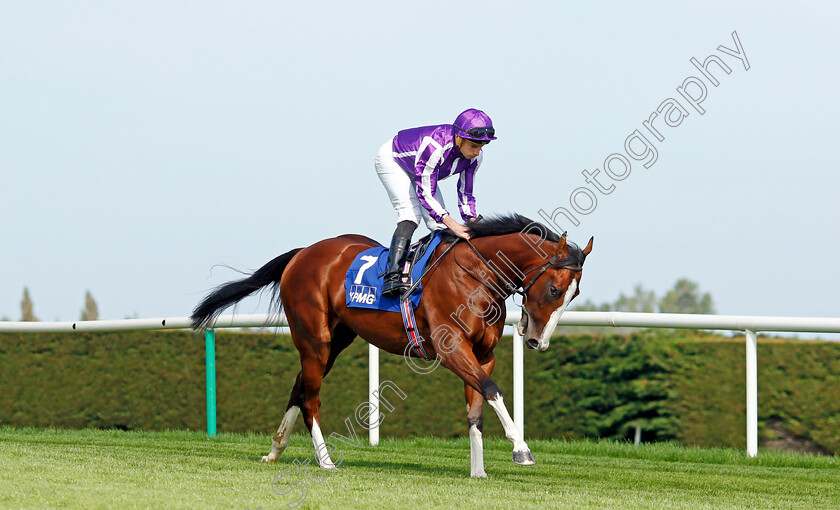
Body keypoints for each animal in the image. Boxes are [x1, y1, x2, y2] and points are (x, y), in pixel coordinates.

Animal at [194, 214, 592, 478]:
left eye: (574, 295)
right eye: (554, 289)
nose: (538, 341)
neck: (476, 275)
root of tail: (303, 253)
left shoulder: (484, 355)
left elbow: (477, 408)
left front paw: (478, 471)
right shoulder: (451, 349)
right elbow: (493, 391)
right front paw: (521, 450)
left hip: (337, 340)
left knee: (299, 387)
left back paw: (276, 450)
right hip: (314, 337)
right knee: (311, 398)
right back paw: (325, 460)